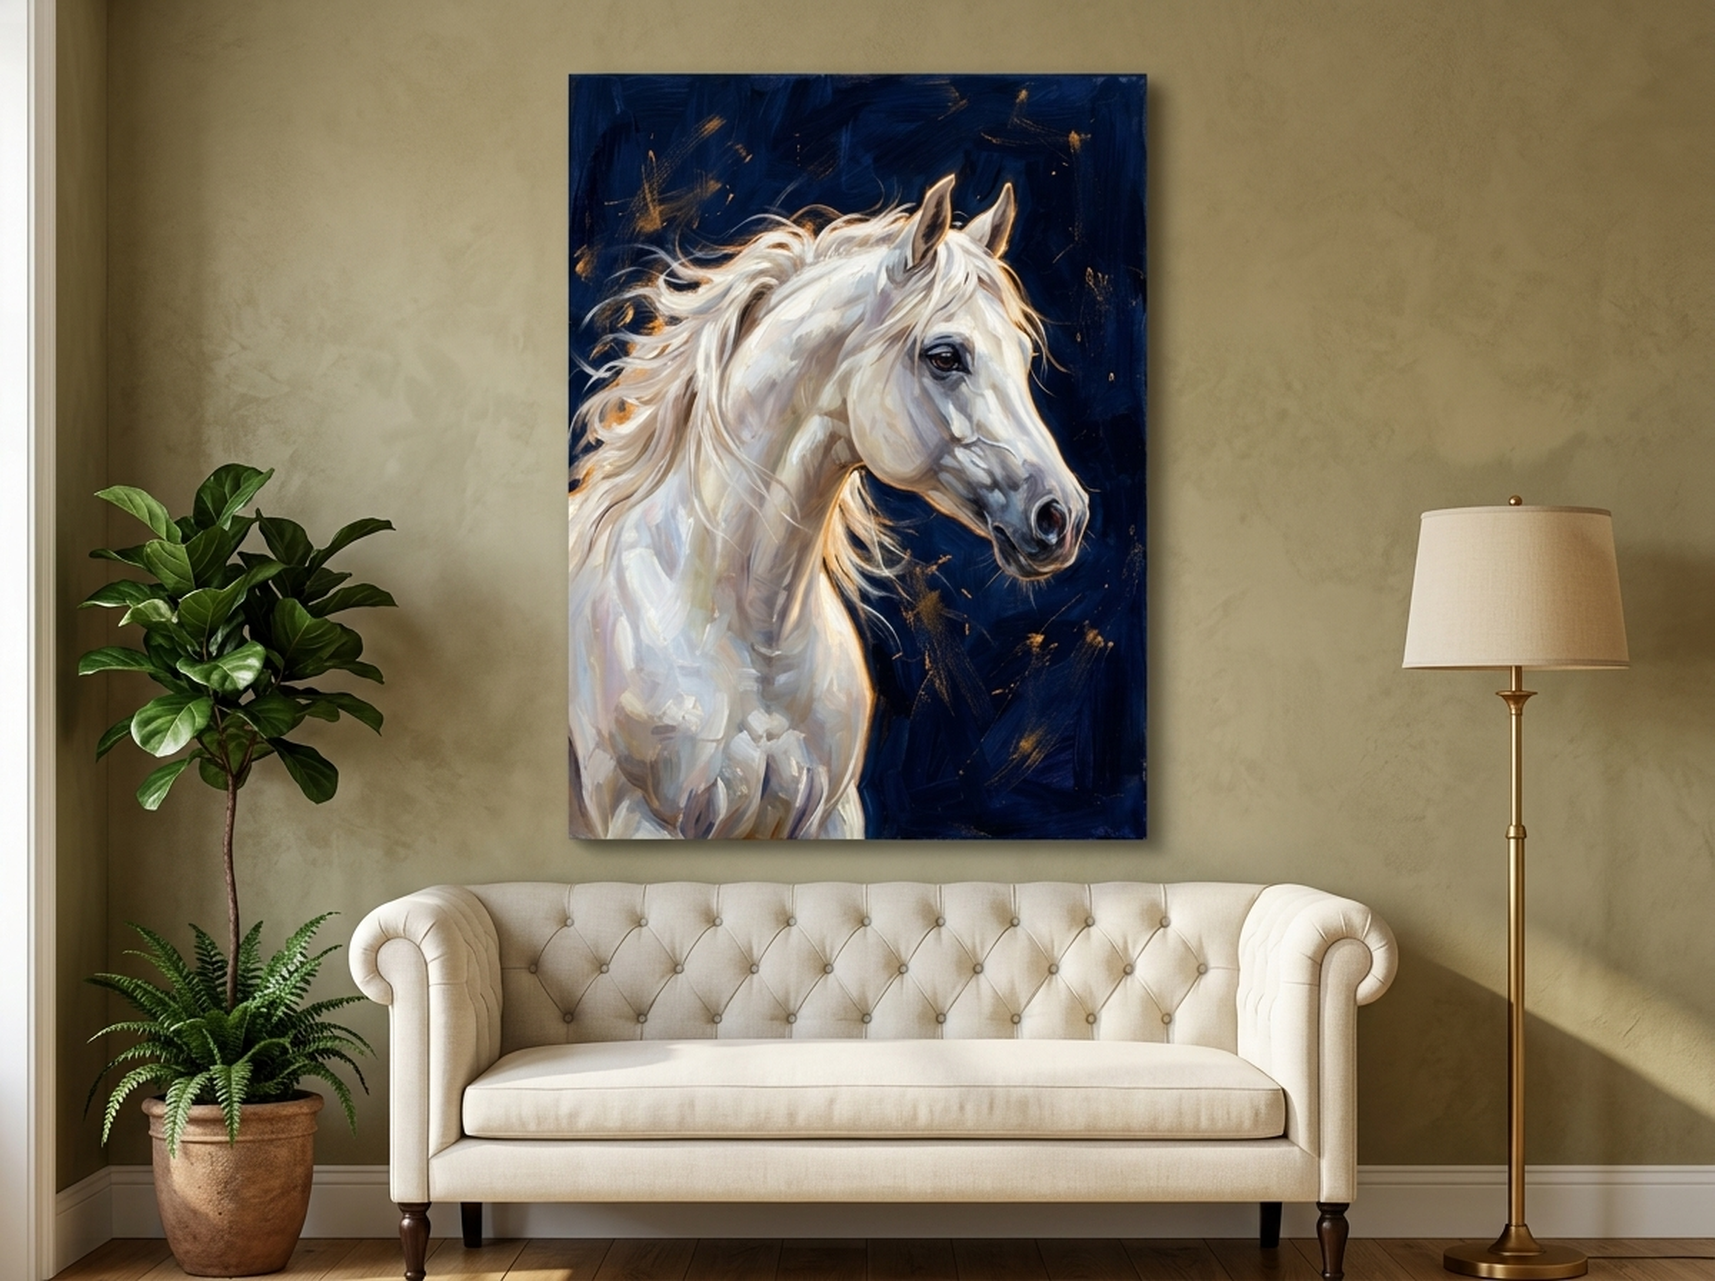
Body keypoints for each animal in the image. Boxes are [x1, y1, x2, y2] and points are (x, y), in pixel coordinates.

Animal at [568, 174, 1089, 839]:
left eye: (1023, 357)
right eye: (945, 356)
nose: (1062, 516)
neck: (749, 636)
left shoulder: (833, 817)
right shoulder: (640, 821)